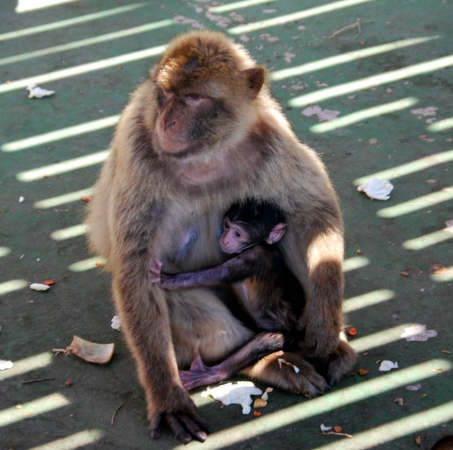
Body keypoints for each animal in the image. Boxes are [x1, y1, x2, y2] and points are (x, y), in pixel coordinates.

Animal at [148, 200, 308, 390]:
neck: (260, 245)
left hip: (288, 335)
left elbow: (217, 274)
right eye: (226, 225)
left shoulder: (253, 257)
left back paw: (210, 374)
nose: (225, 238)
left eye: (238, 234)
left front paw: (167, 279)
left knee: (263, 342)